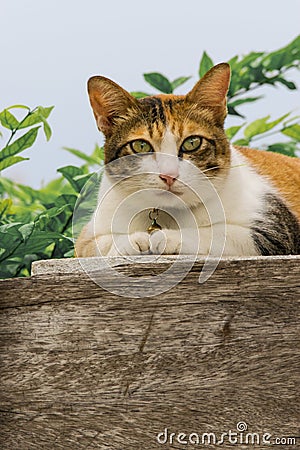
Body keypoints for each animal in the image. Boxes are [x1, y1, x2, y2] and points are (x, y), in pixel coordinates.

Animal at [75, 64, 300, 258]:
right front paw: (129, 242)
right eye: (141, 146)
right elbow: (95, 245)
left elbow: (219, 233)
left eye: (192, 142)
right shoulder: (86, 236)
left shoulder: (278, 232)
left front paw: (167, 237)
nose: (169, 175)